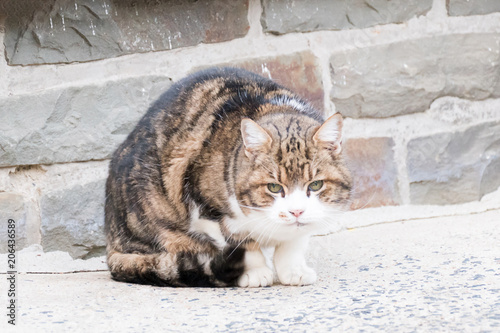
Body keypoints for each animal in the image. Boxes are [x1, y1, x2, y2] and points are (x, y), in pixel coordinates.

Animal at [104, 67, 352, 286]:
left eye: (316, 184)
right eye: (273, 187)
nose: (296, 211)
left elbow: (295, 241)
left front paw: (293, 270)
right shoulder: (205, 209)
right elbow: (242, 242)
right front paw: (255, 272)